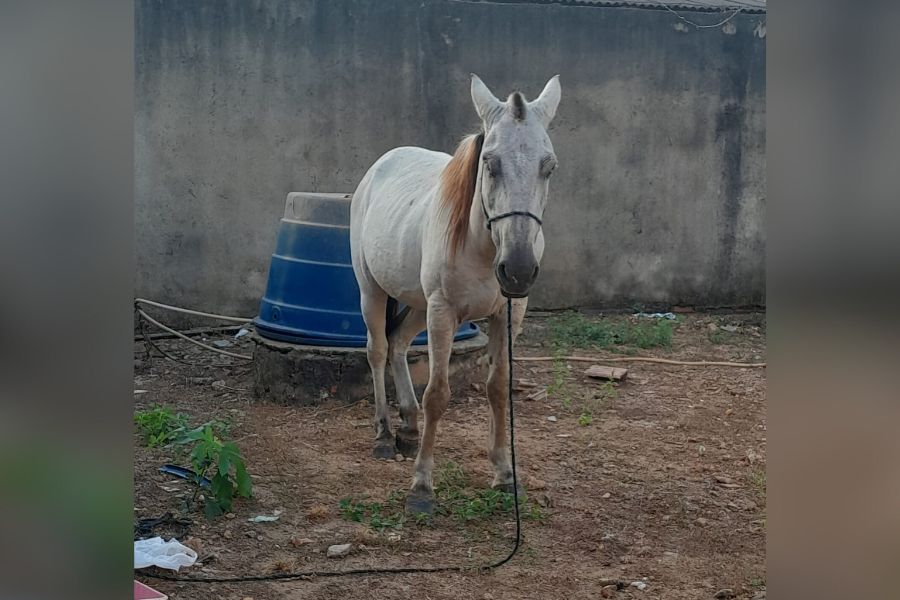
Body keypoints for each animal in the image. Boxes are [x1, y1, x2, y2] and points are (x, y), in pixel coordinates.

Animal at [350, 74, 561, 515]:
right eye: (490, 163)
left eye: (548, 166)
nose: (517, 270)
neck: (482, 247)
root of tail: (380, 165)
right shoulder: (443, 313)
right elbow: (438, 394)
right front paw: (421, 486)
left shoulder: (508, 315)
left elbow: (498, 388)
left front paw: (504, 473)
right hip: (373, 291)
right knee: (377, 350)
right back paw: (384, 435)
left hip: (417, 305)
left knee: (398, 344)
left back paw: (408, 426)